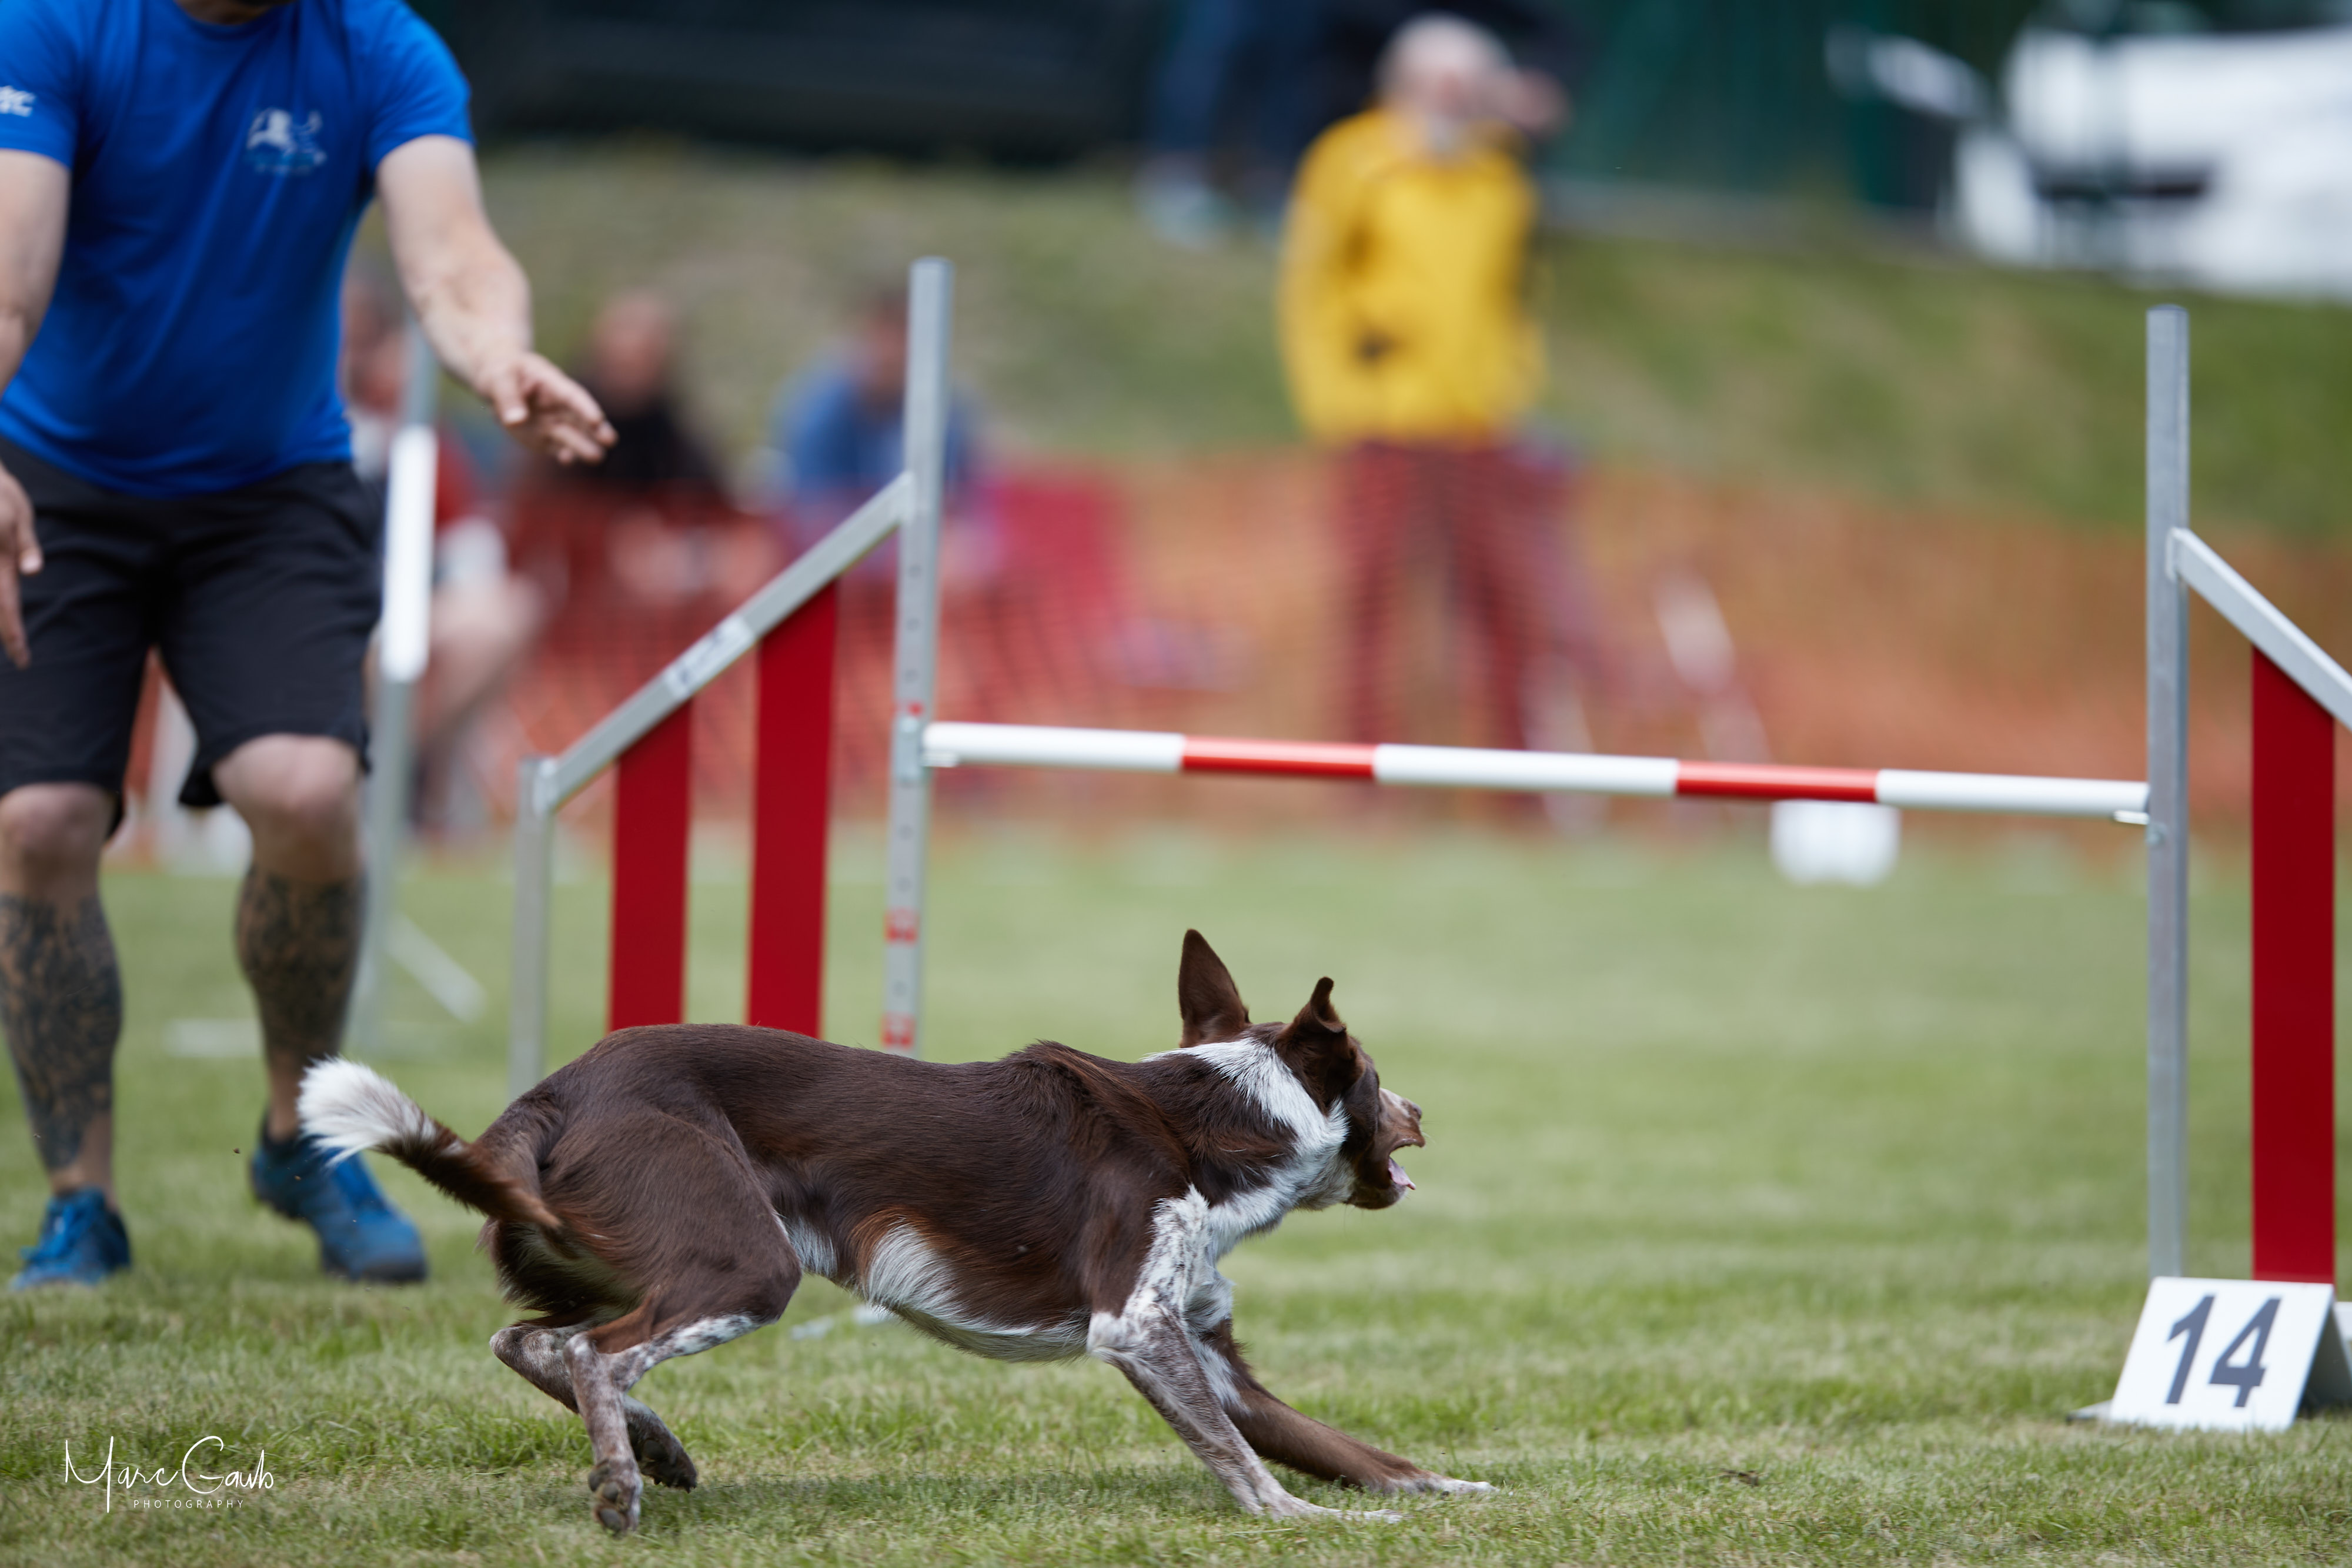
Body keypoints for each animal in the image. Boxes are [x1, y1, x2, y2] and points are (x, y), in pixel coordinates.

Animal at [299, 930, 1488, 1532]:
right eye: (1377, 1077)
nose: (1426, 1109)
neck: (1217, 1120)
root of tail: (556, 1091)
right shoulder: (1139, 1331)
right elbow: (1246, 1461)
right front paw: (1305, 1523)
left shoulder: (1208, 1351)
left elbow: (1356, 1450)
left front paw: (1455, 1492)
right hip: (746, 1259)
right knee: (595, 1352)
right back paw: (620, 1477)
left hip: (608, 1256)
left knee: (532, 1339)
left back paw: (652, 1444)